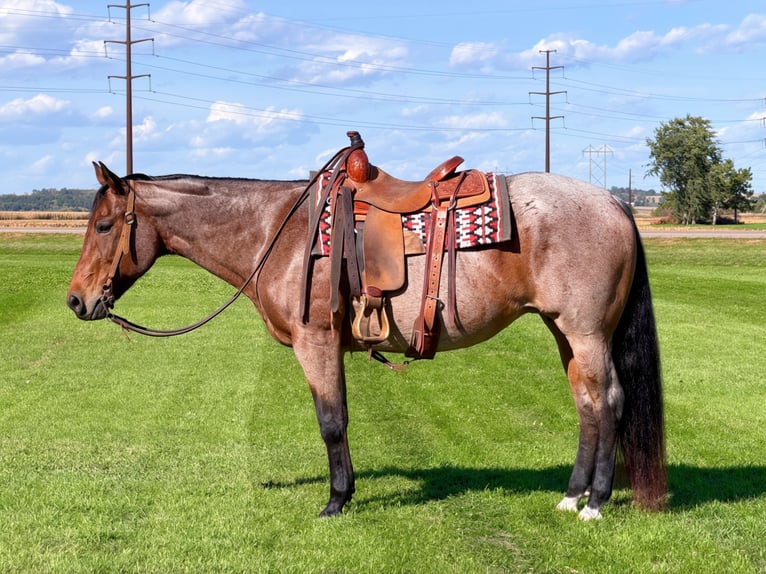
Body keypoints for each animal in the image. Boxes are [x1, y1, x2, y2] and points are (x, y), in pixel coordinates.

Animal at [66, 154, 666, 521]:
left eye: (103, 225)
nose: (75, 301)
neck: (277, 233)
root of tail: (614, 203)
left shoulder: (315, 344)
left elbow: (332, 421)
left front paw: (336, 500)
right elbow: (340, 419)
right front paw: (346, 491)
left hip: (586, 333)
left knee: (610, 403)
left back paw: (595, 503)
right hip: (565, 331)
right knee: (587, 405)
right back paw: (571, 497)